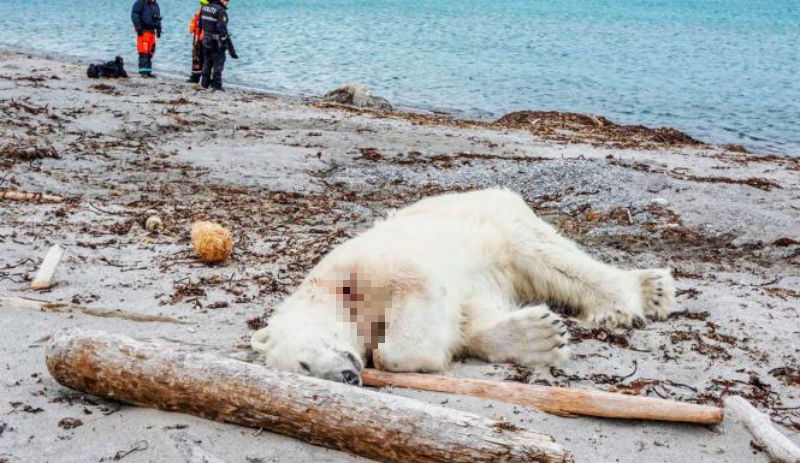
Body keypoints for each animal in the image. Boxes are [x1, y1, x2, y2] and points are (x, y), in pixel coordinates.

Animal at [252, 188, 676, 384]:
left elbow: (414, 296)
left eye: (304, 363)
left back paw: (637, 296)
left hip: (499, 222)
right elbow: (466, 320)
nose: (348, 376)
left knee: (552, 259)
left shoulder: (364, 266)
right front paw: (539, 335)